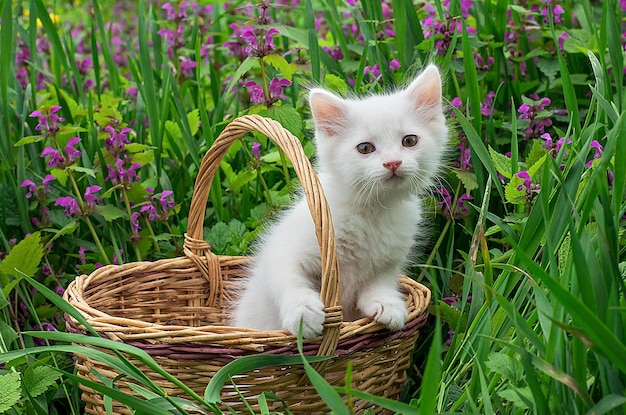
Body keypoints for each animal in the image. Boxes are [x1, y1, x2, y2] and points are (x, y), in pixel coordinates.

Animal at [232, 64, 446, 338]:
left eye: (409, 141)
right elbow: (288, 277)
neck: (372, 211)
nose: (393, 163)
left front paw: (386, 303)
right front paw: (303, 313)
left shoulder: (391, 260)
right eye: (365, 148)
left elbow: (381, 280)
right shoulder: (283, 249)